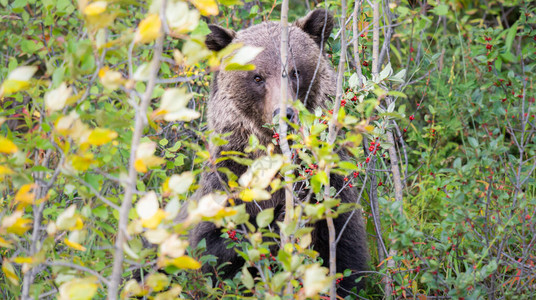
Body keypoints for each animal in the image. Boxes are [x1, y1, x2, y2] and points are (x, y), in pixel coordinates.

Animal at [191, 8, 370, 296]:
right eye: (257, 77)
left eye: (295, 72)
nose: (284, 114)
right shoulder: (227, 179)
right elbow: (216, 251)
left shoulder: (331, 190)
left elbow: (346, 258)